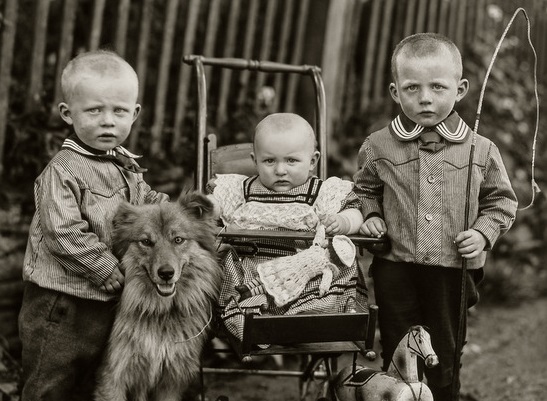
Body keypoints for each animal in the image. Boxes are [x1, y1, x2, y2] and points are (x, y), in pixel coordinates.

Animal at [94, 192, 223, 398]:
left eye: (178, 240)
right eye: (146, 242)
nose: (166, 273)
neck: (160, 313)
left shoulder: (171, 381)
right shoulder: (112, 376)